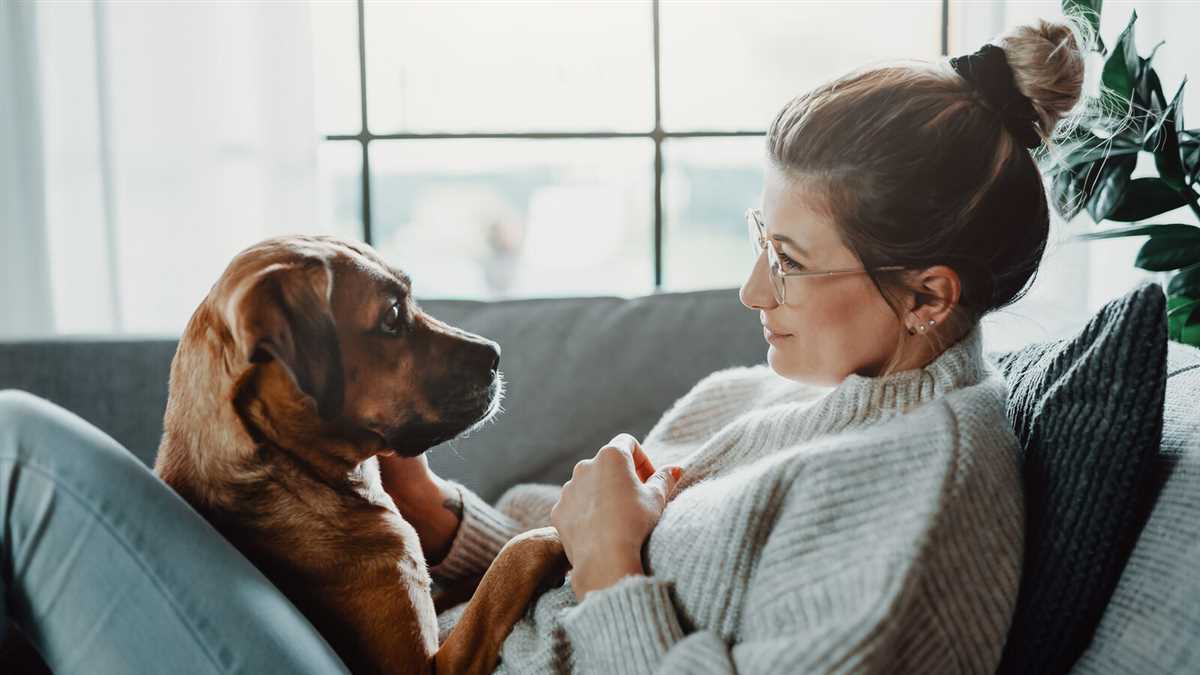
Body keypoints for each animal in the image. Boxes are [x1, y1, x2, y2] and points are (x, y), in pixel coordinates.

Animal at [154, 235, 566, 672]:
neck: (291, 473)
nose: (496, 354)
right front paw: (559, 530)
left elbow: (478, 578)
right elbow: (513, 556)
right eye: (392, 315)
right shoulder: (425, 666)